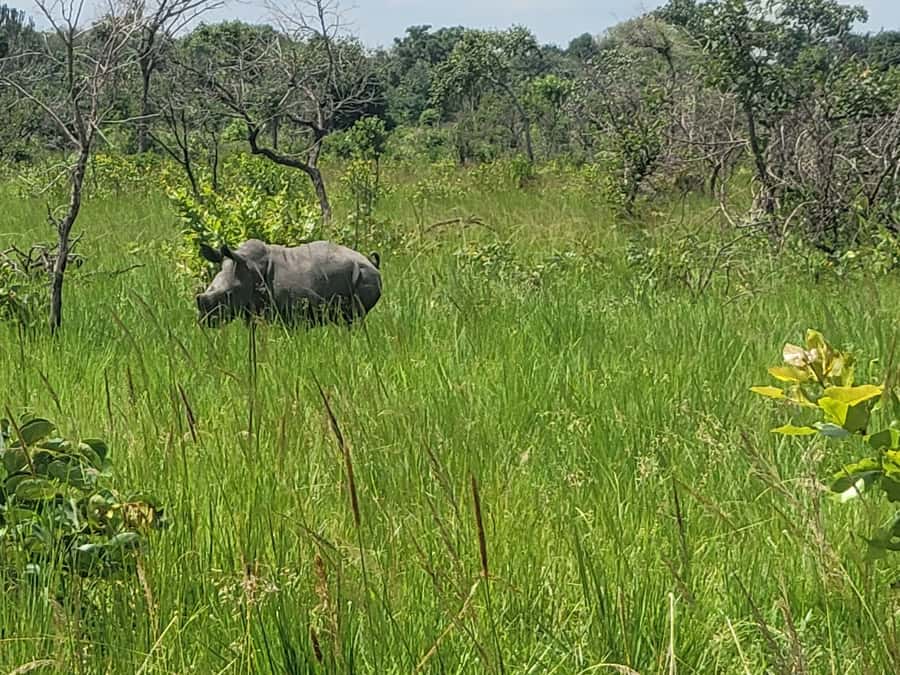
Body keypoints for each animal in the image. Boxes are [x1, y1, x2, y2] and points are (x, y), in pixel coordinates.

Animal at [195, 239, 382, 327]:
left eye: (228, 295)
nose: (205, 321)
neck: (249, 266)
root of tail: (371, 262)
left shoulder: (292, 313)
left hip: (365, 275)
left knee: (354, 317)